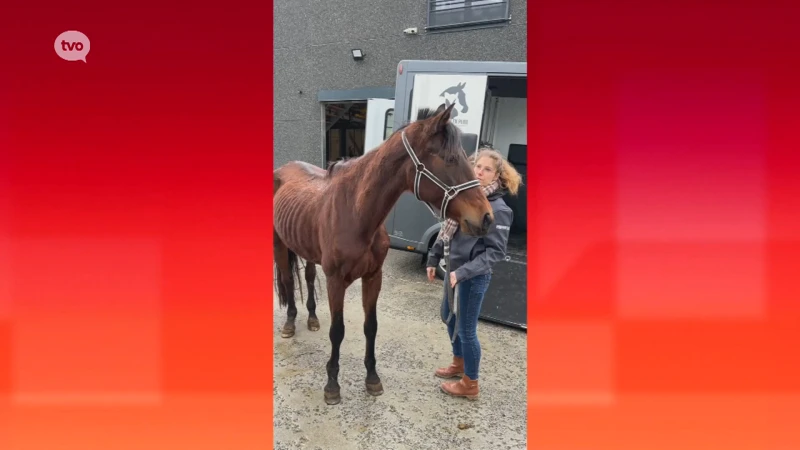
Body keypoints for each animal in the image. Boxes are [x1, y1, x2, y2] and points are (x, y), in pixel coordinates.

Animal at [274, 103, 494, 406]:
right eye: (449, 159)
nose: (486, 218)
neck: (356, 212)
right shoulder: (335, 282)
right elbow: (338, 331)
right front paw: (332, 385)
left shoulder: (373, 277)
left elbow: (371, 327)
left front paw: (372, 378)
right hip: (281, 245)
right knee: (286, 280)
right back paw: (290, 322)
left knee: (306, 277)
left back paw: (312, 318)